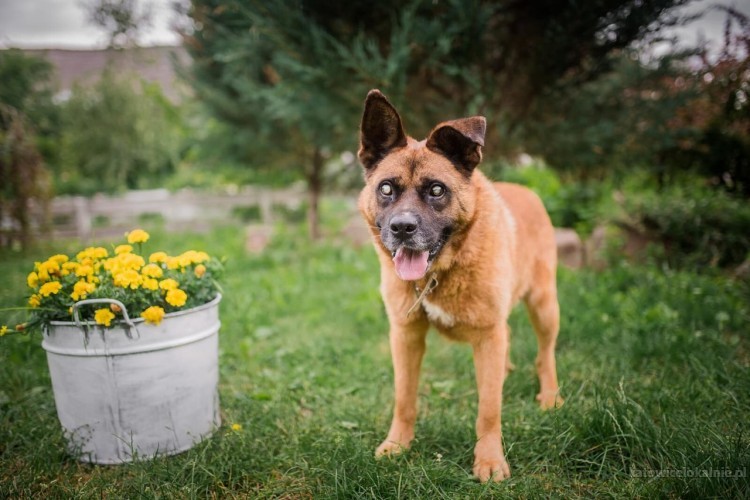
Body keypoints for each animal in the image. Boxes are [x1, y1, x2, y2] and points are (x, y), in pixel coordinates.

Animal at [358, 89, 564, 480]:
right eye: (386, 188)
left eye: (437, 190)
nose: (402, 228)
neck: (439, 272)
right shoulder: (405, 336)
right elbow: (404, 398)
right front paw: (397, 444)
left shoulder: (487, 336)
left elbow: (489, 409)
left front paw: (490, 460)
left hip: (545, 307)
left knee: (545, 354)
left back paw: (550, 395)